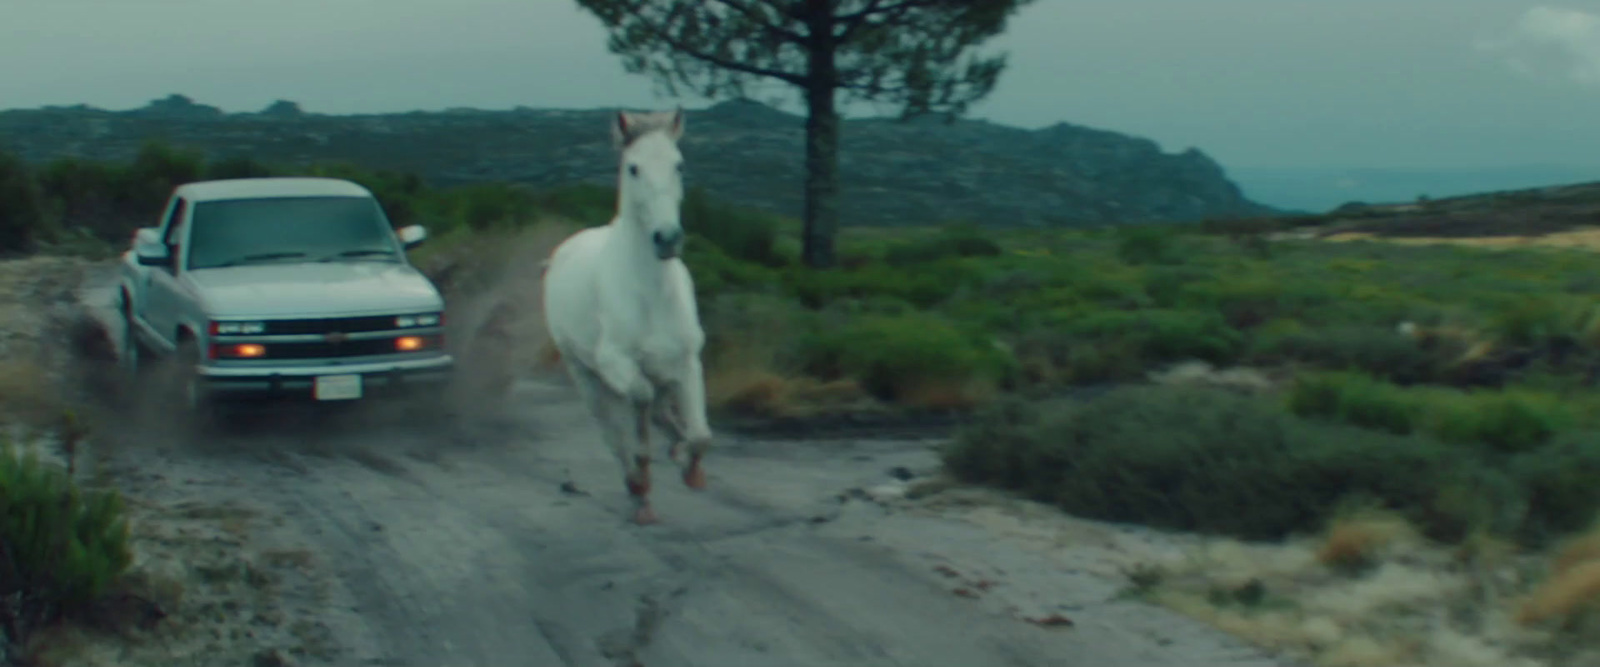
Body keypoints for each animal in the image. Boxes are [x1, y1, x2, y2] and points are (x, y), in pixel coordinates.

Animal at [540, 107, 710, 524]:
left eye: (679, 164)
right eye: (633, 168)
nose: (667, 238)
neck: (652, 294)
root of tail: (559, 254)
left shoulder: (687, 361)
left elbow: (700, 434)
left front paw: (692, 469)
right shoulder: (617, 362)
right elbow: (640, 404)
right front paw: (643, 487)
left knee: (663, 413)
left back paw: (675, 449)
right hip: (584, 375)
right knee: (612, 432)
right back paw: (635, 487)